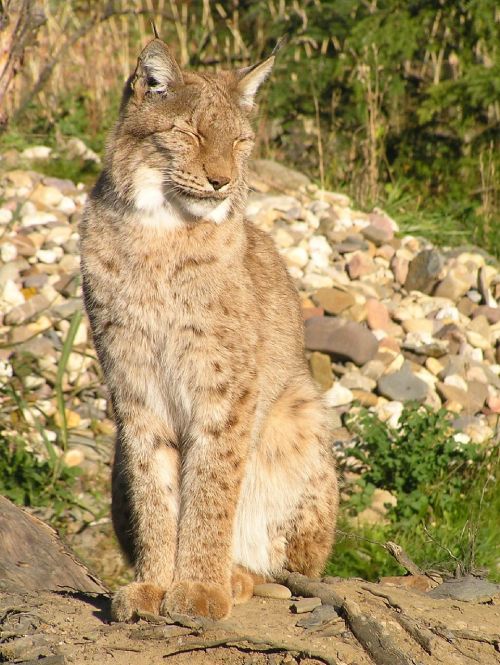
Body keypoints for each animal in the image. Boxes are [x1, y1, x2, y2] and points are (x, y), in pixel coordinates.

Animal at [80, 35, 338, 616]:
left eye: (240, 142)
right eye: (192, 132)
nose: (223, 180)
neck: (159, 229)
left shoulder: (227, 386)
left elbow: (212, 485)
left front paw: (198, 587)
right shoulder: (132, 381)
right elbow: (155, 488)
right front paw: (155, 584)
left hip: (301, 411)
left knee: (289, 572)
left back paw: (237, 576)